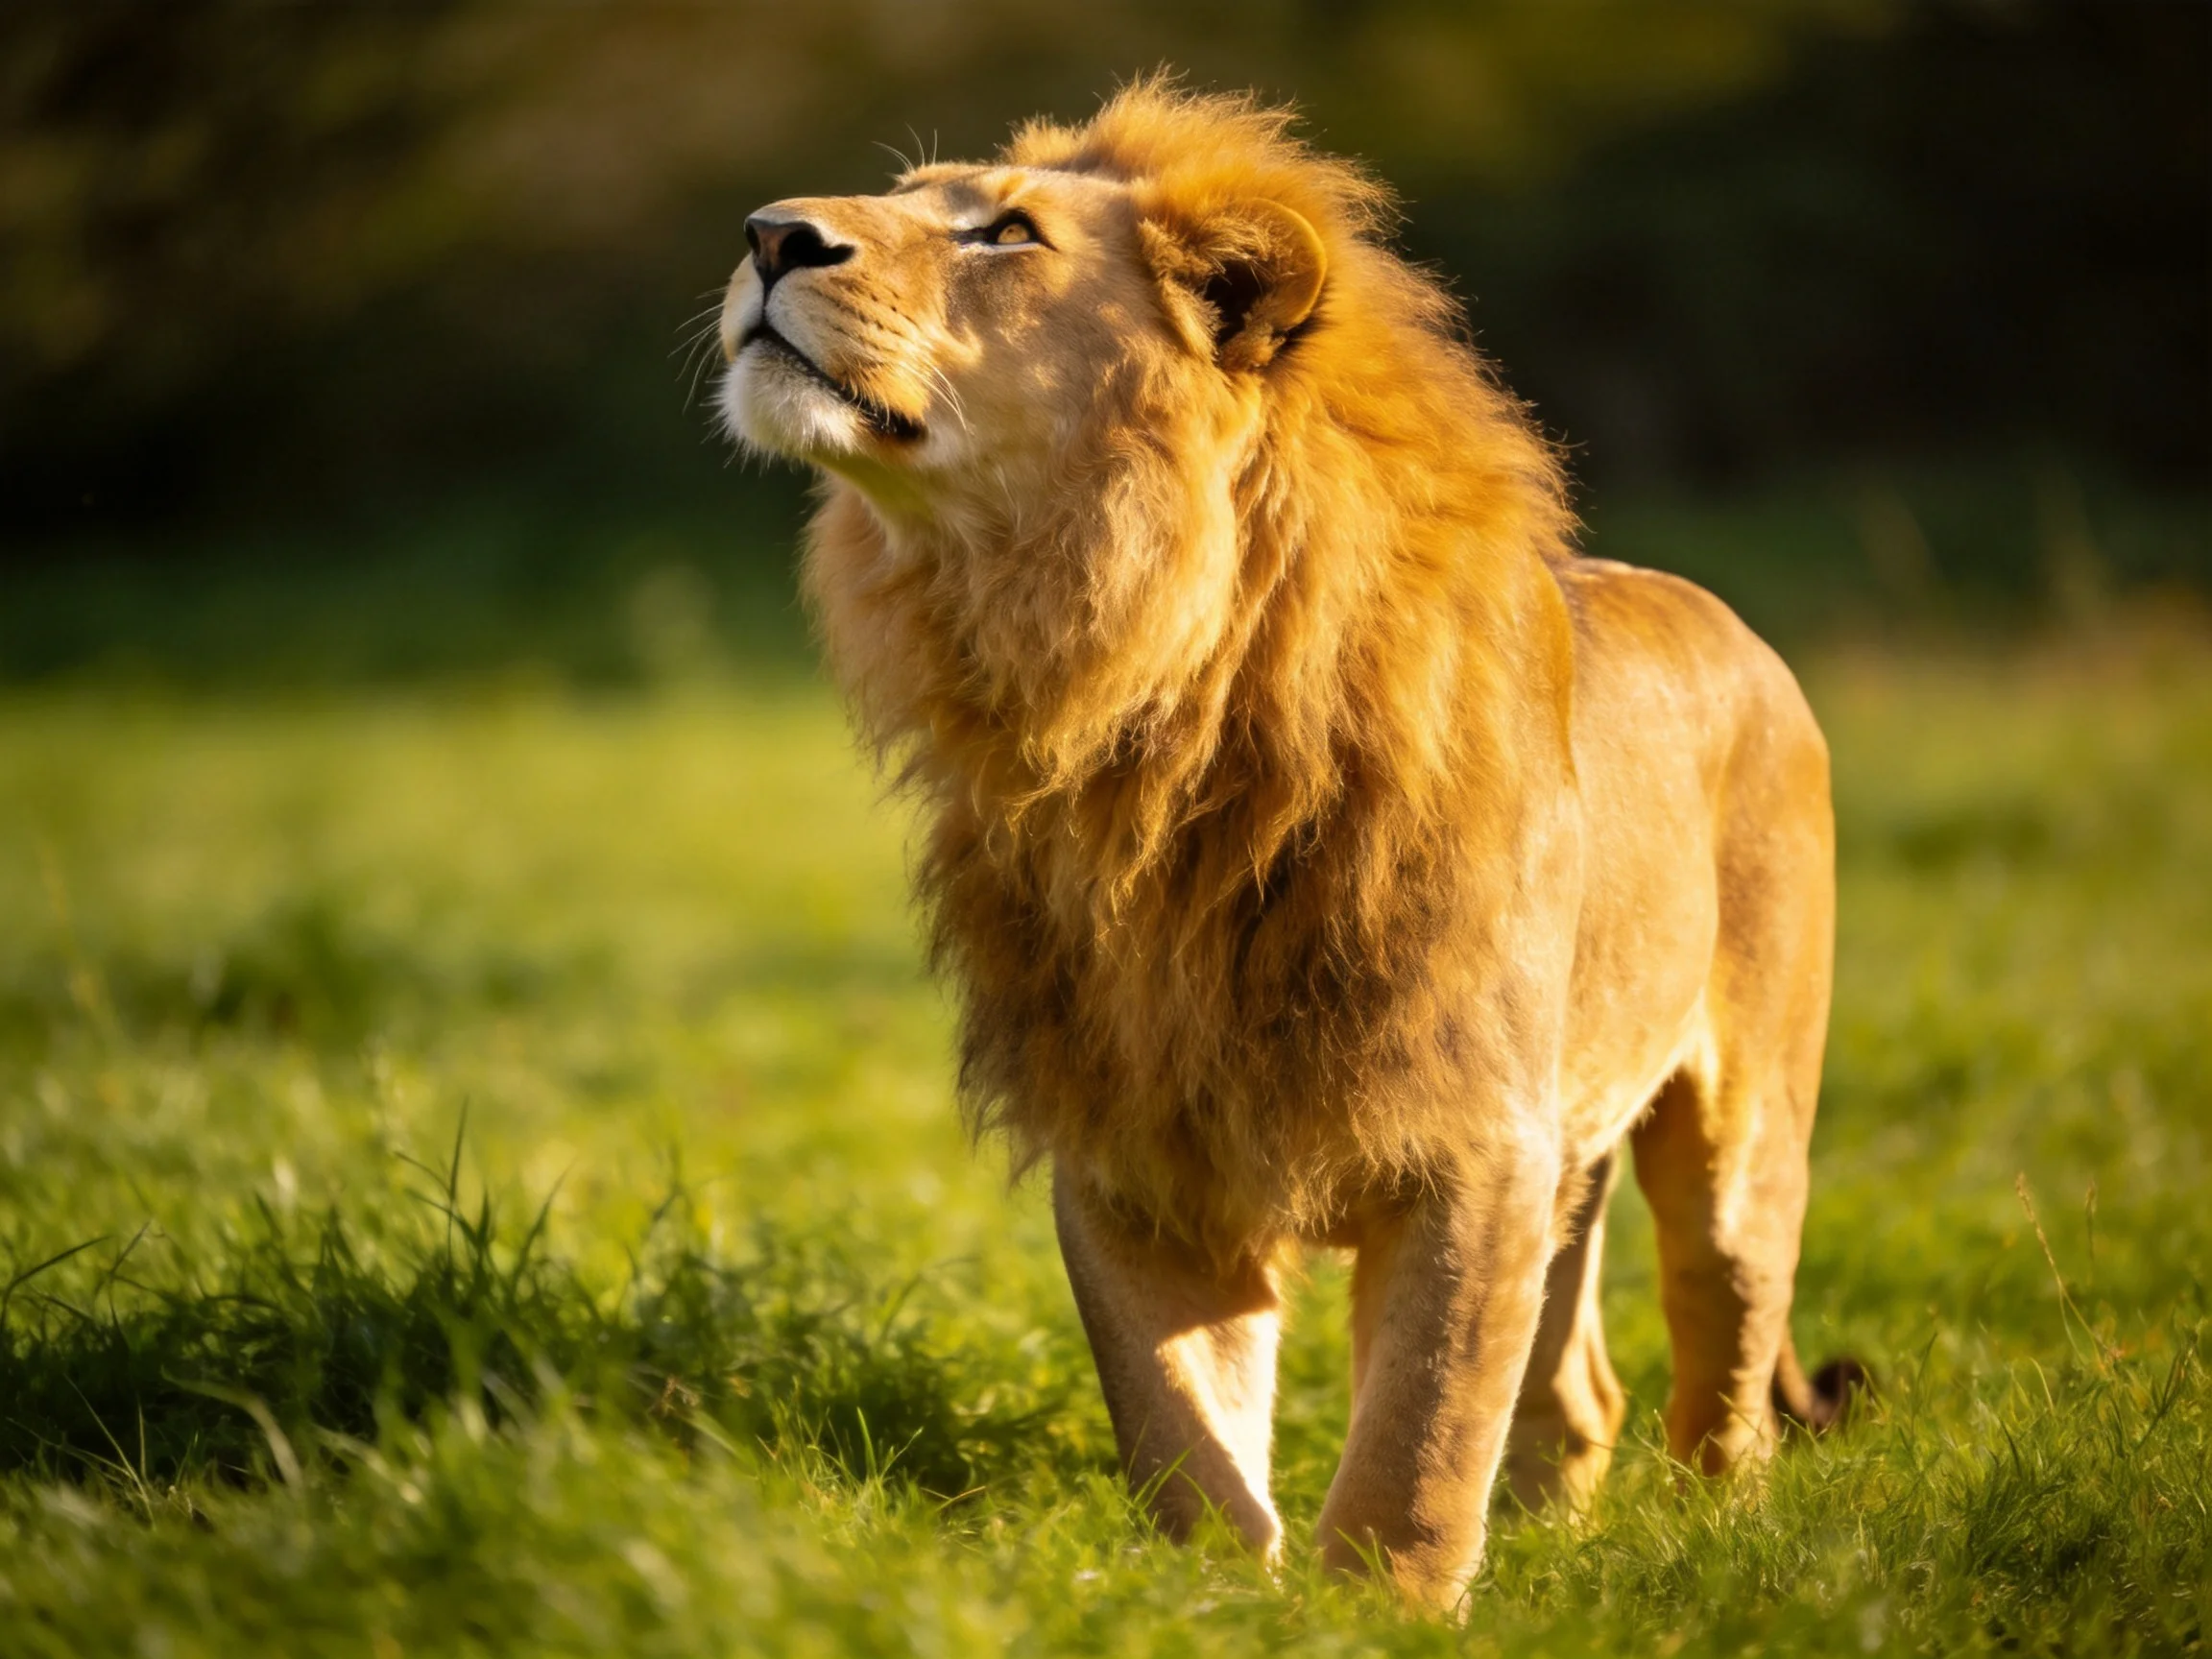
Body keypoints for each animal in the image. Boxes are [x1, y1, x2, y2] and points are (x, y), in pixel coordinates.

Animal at [715, 81, 1862, 1608]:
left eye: (1007, 234)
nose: (769, 233)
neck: (1131, 708)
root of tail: (1729, 621)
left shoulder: (1470, 1143)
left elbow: (1419, 1434)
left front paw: (1384, 1612)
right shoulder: (1133, 1140)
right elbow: (1176, 1423)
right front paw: (1214, 1604)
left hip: (1739, 1126)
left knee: (1724, 1343)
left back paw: (1717, 1541)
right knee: (1577, 1392)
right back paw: (1552, 1541)